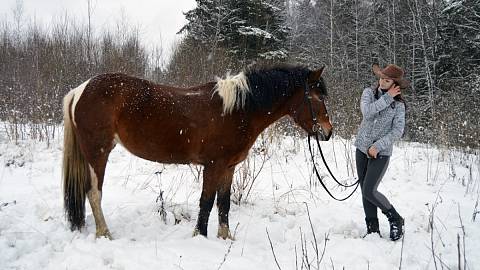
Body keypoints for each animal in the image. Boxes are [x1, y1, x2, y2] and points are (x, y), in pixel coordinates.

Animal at [62, 64, 332, 239]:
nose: (327, 132)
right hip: (98, 152)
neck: (238, 110)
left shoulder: (228, 167)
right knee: (94, 193)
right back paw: (104, 233)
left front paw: (225, 237)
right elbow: (206, 202)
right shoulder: (213, 166)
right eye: (318, 97)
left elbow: (223, 203)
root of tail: (79, 90)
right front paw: (200, 236)